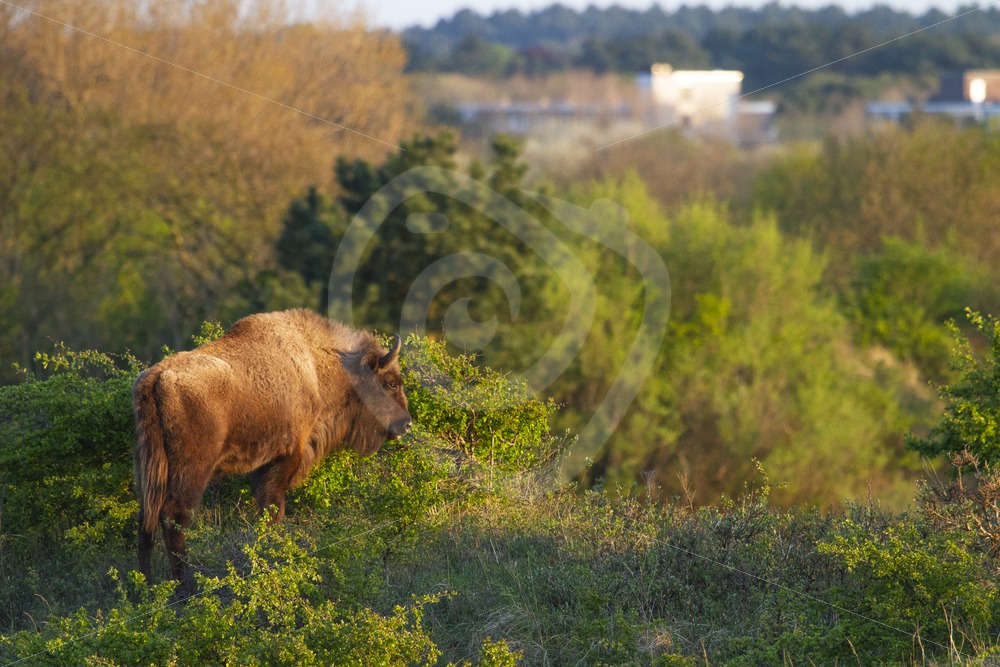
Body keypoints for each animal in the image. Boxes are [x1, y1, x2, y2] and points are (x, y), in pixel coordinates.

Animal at [133, 309, 411, 585]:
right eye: (391, 383)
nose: (406, 424)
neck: (315, 367)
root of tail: (156, 378)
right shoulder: (287, 456)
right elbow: (273, 508)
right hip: (192, 470)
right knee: (174, 517)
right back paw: (185, 586)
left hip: (149, 467)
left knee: (146, 521)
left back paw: (144, 585)